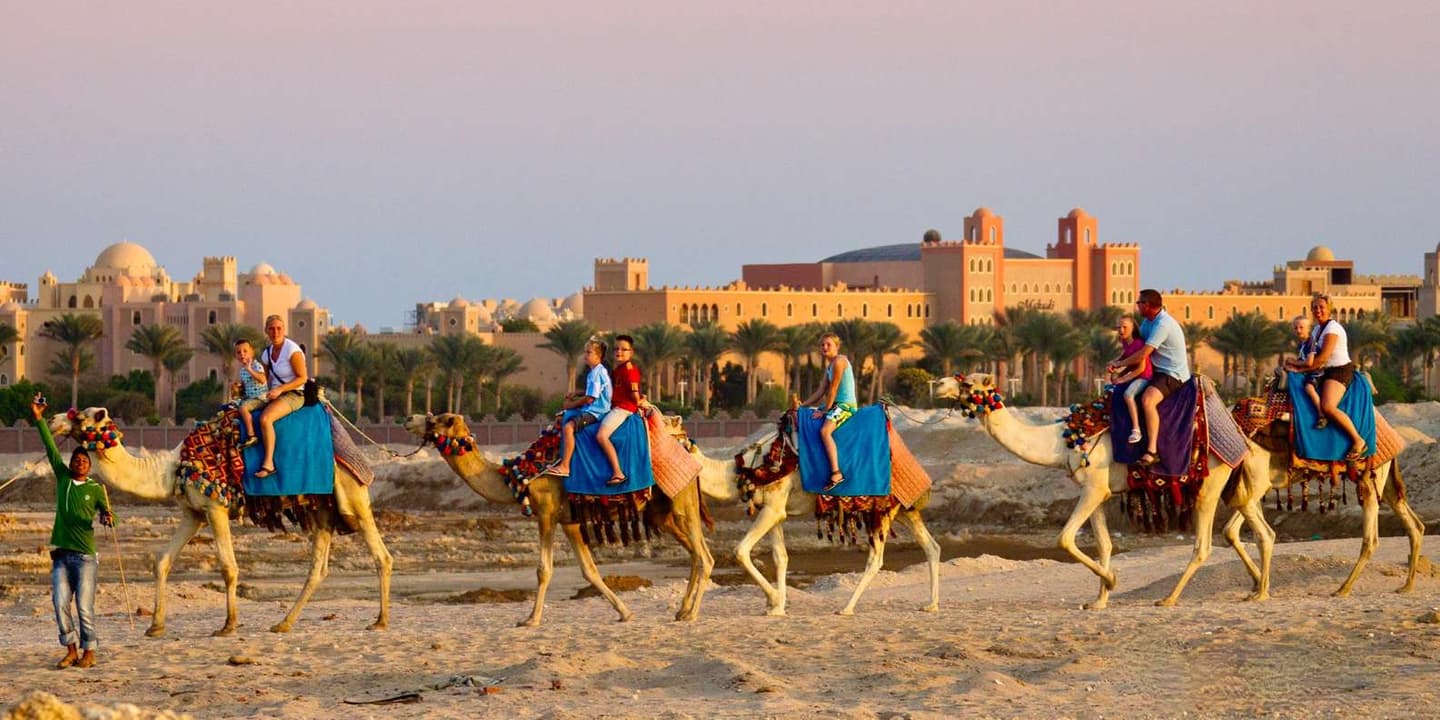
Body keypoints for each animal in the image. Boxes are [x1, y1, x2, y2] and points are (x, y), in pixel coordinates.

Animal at [50, 407, 392, 636]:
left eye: (82, 415)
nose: (53, 420)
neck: (171, 467)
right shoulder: (193, 513)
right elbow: (162, 561)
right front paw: (155, 626)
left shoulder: (215, 506)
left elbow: (228, 566)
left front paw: (228, 625)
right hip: (320, 508)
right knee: (318, 568)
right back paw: (283, 623)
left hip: (352, 495)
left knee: (381, 555)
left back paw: (380, 620)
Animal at [402, 412, 714, 626]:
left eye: (441, 419)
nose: (409, 419)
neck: (520, 475)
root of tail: (686, 444)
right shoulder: (570, 521)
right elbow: (589, 570)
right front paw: (625, 612)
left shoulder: (547, 513)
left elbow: (544, 569)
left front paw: (530, 619)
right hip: (663, 513)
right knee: (696, 554)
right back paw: (682, 610)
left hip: (682, 499)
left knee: (704, 556)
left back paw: (692, 613)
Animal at [680, 428, 942, 617]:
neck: (744, 470)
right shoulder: (774, 509)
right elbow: (781, 557)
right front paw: (778, 607)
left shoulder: (773, 508)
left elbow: (741, 550)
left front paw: (774, 600)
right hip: (903, 509)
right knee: (931, 546)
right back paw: (931, 604)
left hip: (879, 512)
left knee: (876, 559)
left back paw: (846, 608)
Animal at [935, 373, 1277, 609]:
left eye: (970, 382)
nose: (938, 383)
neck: (1063, 441)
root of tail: (1242, 440)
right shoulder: (1098, 492)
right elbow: (1105, 545)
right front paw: (1099, 600)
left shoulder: (1094, 488)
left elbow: (1064, 538)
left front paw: (1111, 581)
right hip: (1238, 488)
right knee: (1262, 532)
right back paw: (1259, 591)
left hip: (1209, 484)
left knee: (1204, 545)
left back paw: (1169, 598)